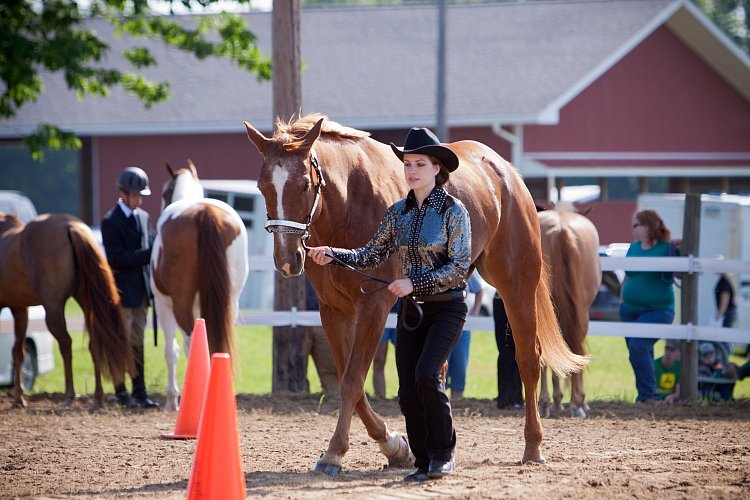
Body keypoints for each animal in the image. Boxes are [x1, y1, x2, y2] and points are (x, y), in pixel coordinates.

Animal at [0, 211, 134, 406]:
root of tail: (70, 226)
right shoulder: (20, 309)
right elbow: (18, 351)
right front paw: (19, 398)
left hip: (53, 310)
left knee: (66, 344)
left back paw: (69, 395)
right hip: (87, 306)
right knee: (94, 344)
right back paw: (98, 397)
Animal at [151, 160, 250, 410]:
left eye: (164, 192)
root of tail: (204, 212)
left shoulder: (162, 305)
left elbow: (171, 351)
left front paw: (171, 399)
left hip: (181, 304)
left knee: (188, 343)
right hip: (230, 302)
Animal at [244, 114, 592, 476]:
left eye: (303, 185)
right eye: (262, 186)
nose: (287, 259)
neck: (350, 203)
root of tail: (506, 172)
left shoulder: (374, 306)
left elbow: (352, 380)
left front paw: (334, 453)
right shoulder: (334, 310)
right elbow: (348, 381)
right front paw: (396, 446)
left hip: (516, 285)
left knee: (528, 358)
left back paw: (533, 445)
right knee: (440, 369)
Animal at [536, 202, 604, 418]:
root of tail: (562, 229)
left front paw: (558, 401)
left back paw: (546, 403)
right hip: (581, 311)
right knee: (576, 345)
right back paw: (575, 403)